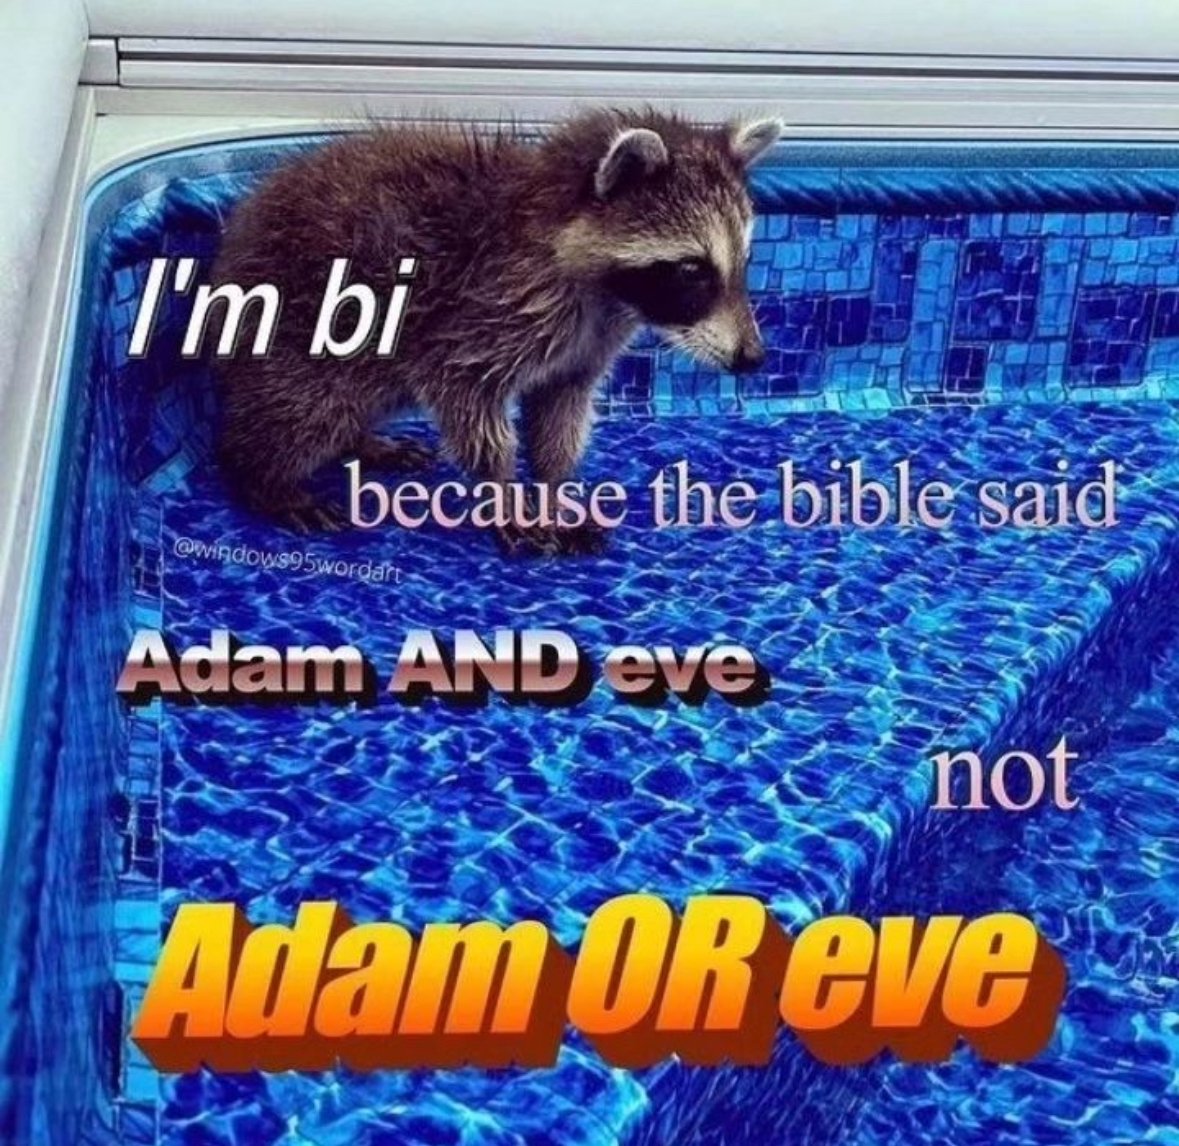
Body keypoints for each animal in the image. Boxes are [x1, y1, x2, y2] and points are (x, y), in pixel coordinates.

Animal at [210, 107, 783, 553]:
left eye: (745, 262)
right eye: (691, 270)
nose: (753, 358)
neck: (603, 294)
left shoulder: (584, 345)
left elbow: (560, 412)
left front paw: (554, 489)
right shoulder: (484, 312)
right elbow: (470, 404)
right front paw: (505, 493)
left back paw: (360, 440)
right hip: (305, 333)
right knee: (309, 410)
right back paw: (262, 475)